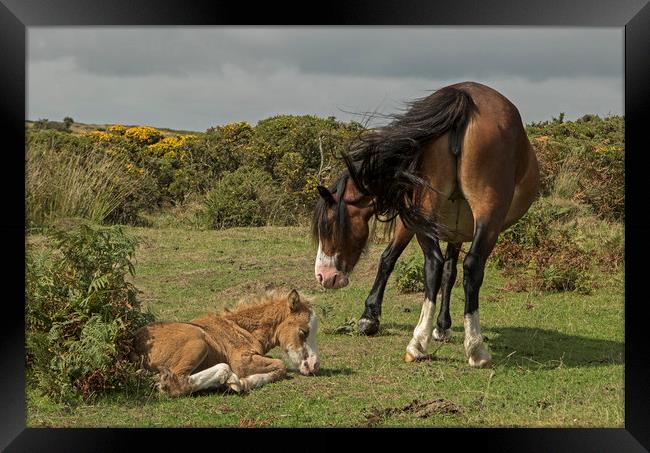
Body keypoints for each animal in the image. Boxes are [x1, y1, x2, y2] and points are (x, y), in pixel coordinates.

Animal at [130, 290, 318, 396]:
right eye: (304, 331)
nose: (314, 366)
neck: (241, 328)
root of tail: (134, 345)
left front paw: (239, 383)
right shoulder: (242, 361)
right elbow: (281, 366)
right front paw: (240, 383)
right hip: (198, 342)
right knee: (175, 383)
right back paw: (226, 377)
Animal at [308, 82, 536, 368]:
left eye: (329, 226)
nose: (323, 276)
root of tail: (465, 98)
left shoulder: (422, 222)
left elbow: (396, 260)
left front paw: (372, 317)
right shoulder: (440, 224)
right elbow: (442, 270)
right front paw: (439, 325)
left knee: (439, 265)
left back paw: (430, 344)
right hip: (472, 214)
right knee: (461, 266)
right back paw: (465, 346)